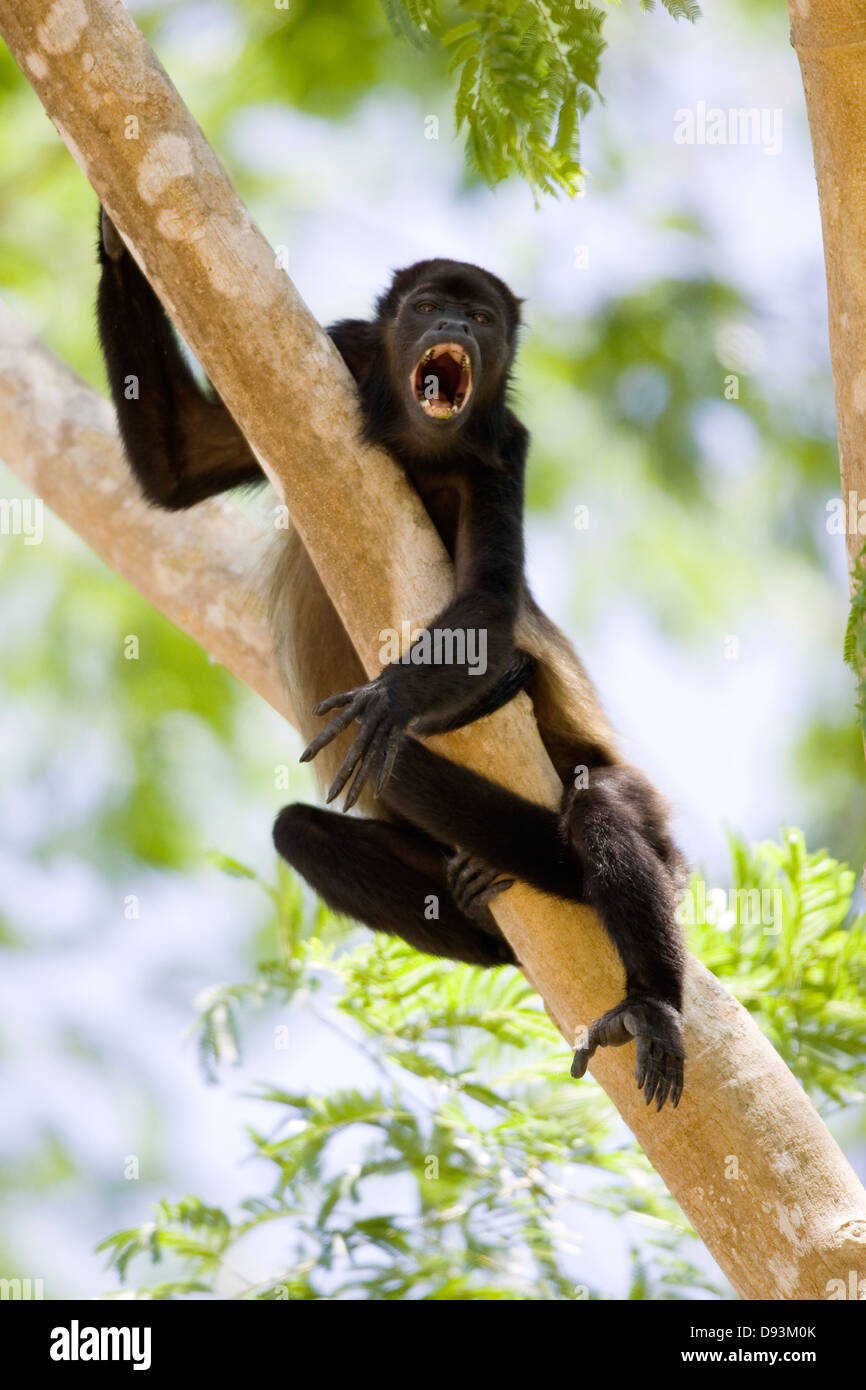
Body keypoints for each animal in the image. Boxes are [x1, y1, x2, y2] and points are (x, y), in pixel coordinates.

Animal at [96, 211, 683, 1112]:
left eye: (480, 318)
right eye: (431, 306)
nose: (454, 329)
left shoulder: (506, 446)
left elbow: (492, 602)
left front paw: (394, 700)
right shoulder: (341, 351)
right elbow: (181, 464)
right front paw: (115, 234)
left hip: (639, 803)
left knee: (605, 815)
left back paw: (654, 1003)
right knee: (299, 833)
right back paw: (476, 911)